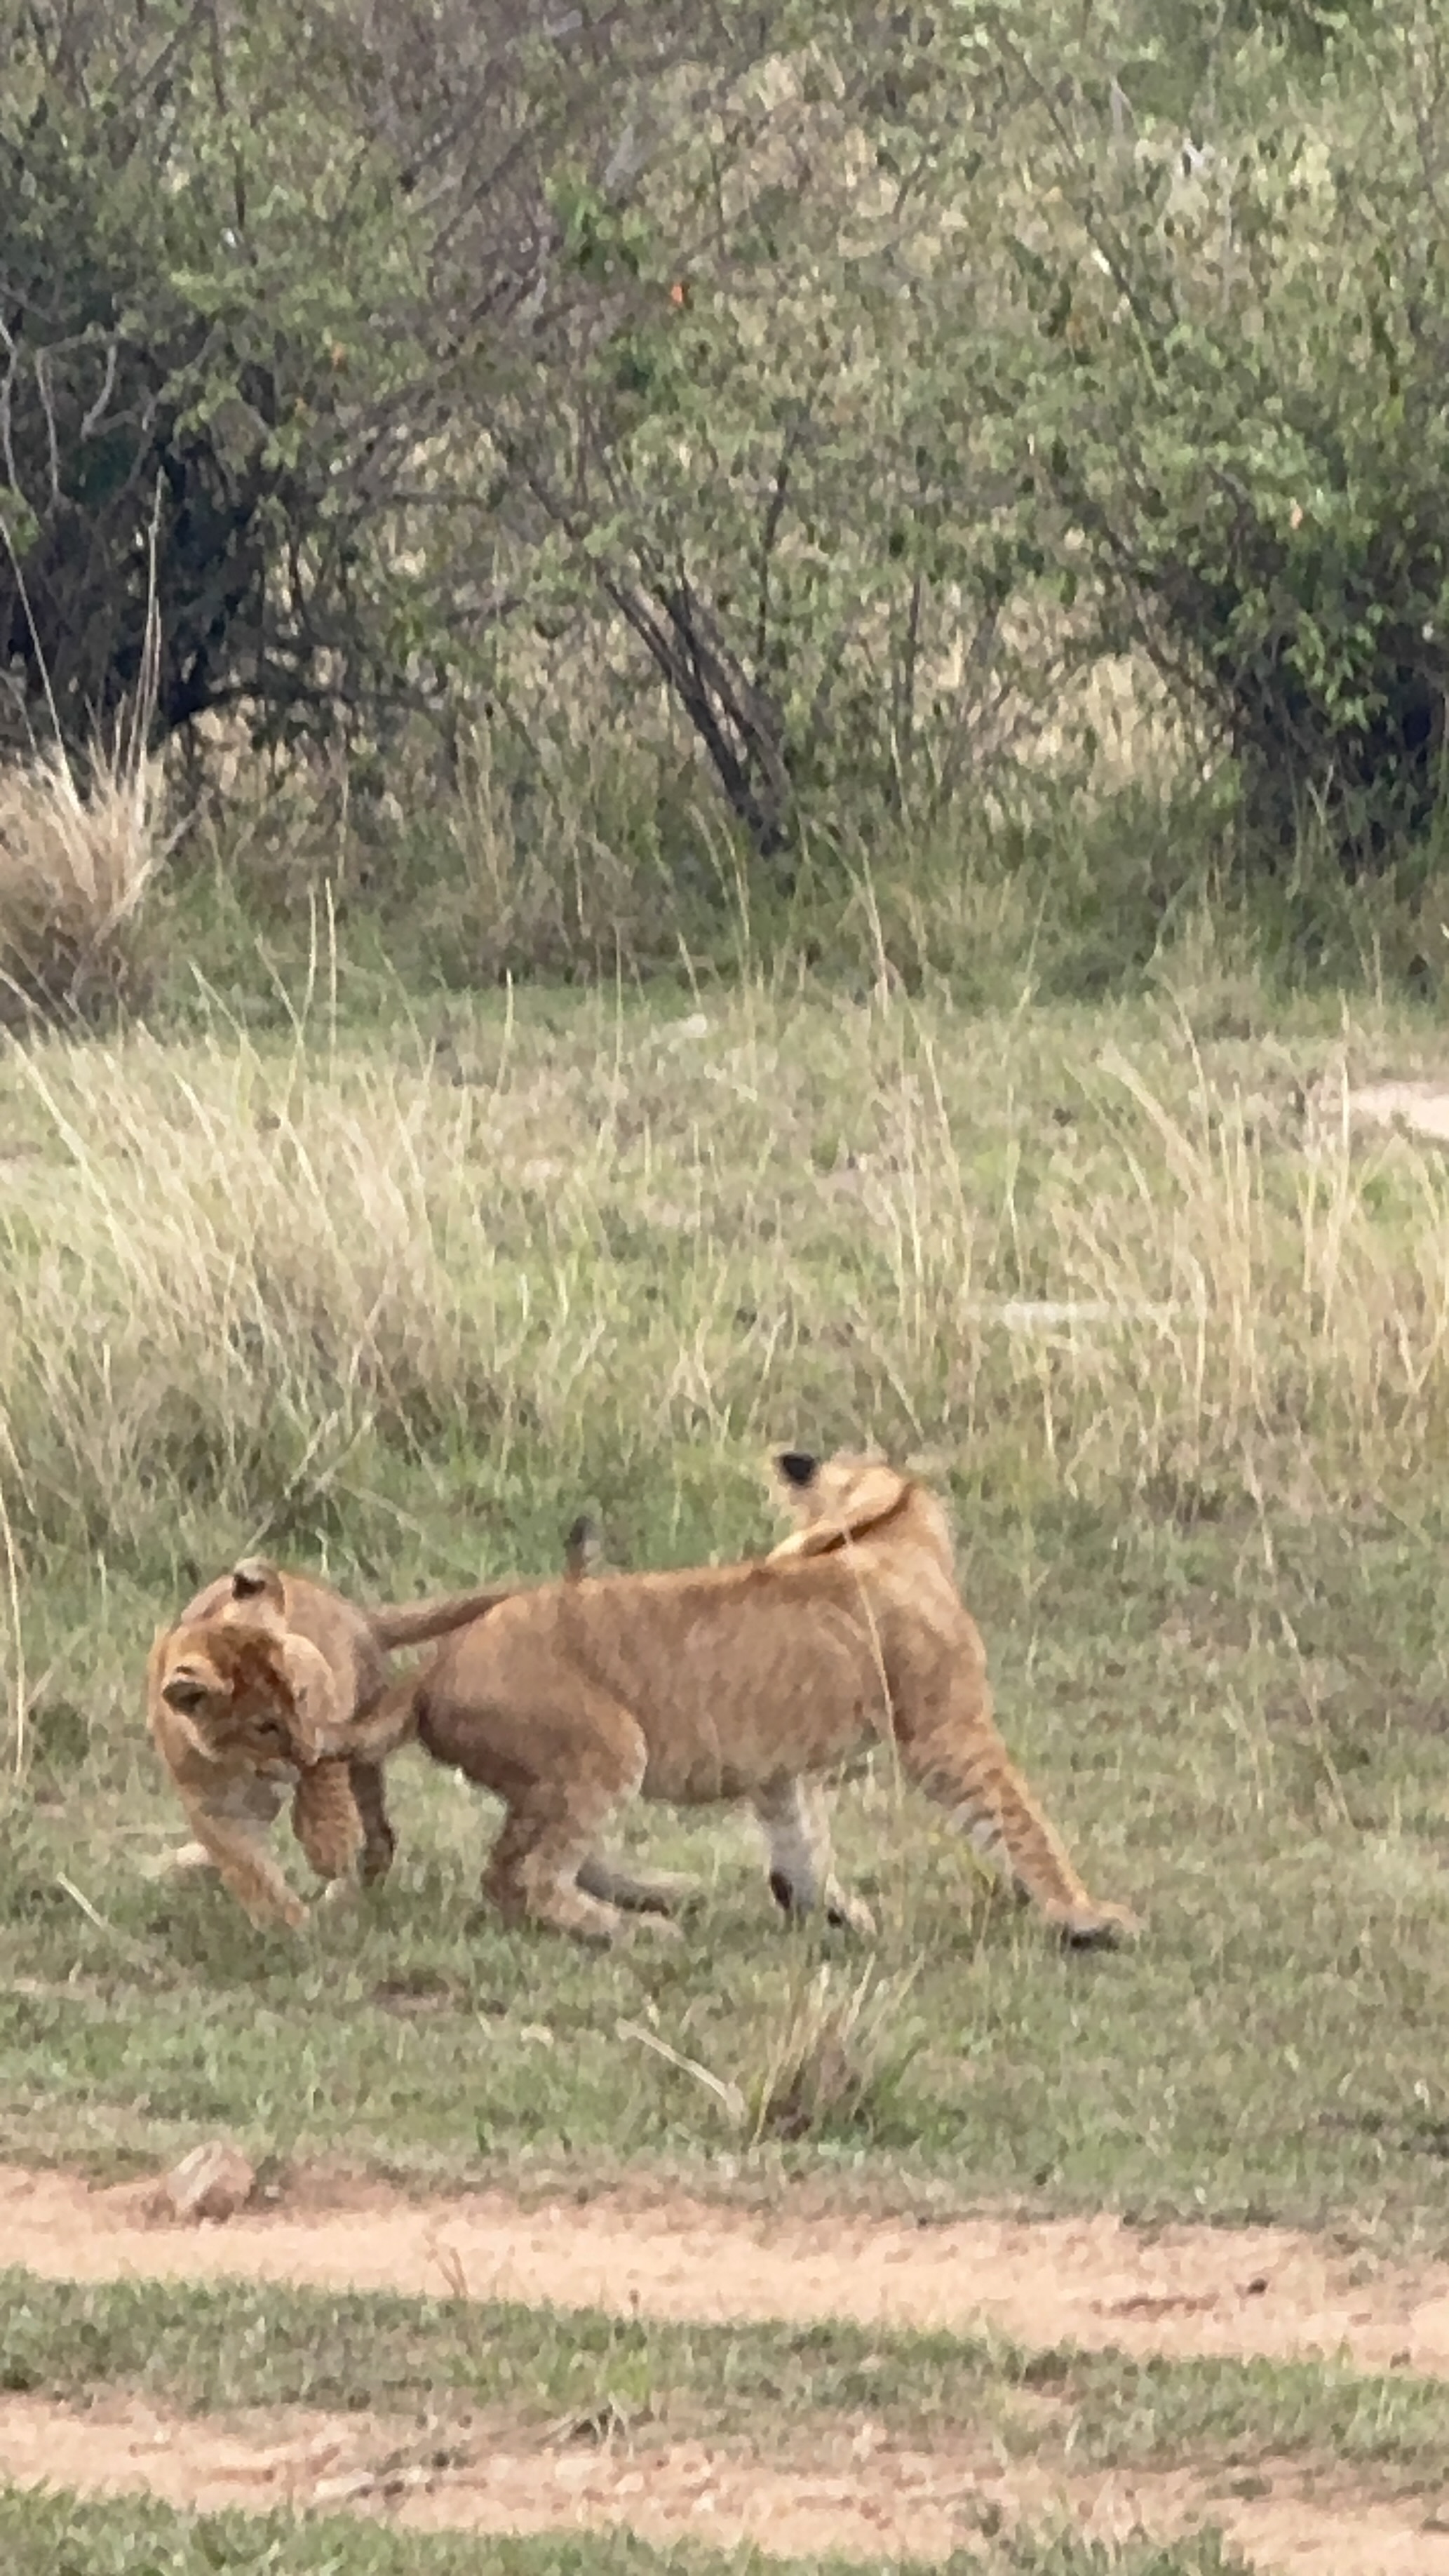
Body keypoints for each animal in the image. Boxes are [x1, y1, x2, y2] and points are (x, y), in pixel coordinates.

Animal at [323, 1452, 1140, 1949]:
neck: (882, 1533)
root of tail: (433, 1670)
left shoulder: (779, 1768)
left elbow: (801, 1837)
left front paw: (830, 1908)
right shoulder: (950, 1732)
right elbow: (1021, 1824)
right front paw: (1088, 1915)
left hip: (560, 1771)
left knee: (543, 1854)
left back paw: (660, 1894)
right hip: (608, 1744)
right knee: (515, 1876)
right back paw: (636, 1930)